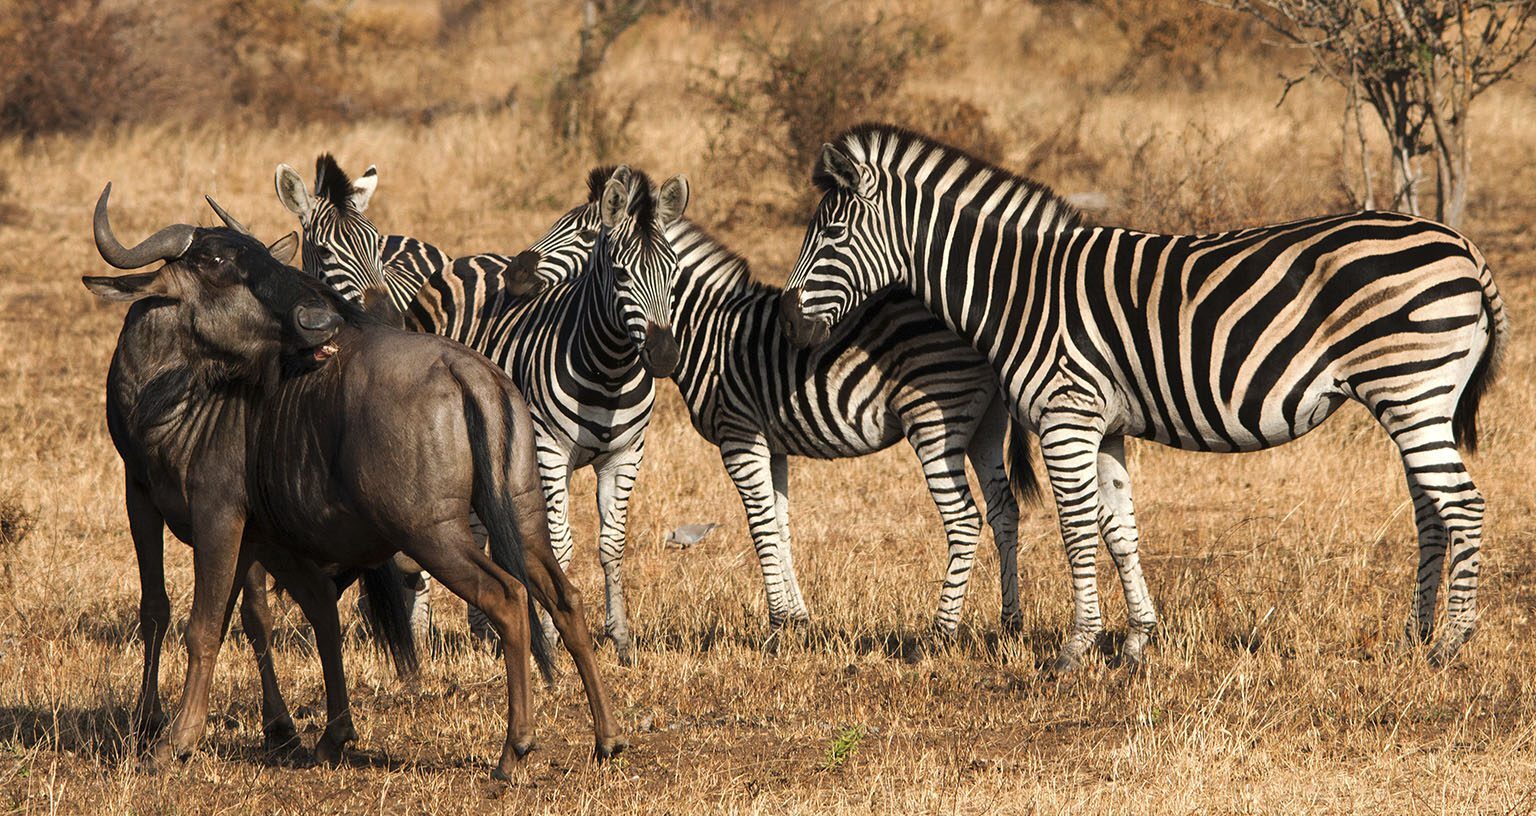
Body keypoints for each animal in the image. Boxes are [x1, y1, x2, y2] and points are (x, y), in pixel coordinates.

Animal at [401, 165, 686, 664]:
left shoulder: (627, 455)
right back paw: (419, 632)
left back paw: (484, 633)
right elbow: (557, 544)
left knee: (477, 528)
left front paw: (621, 640)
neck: (610, 368)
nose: (665, 355)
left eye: (672, 272)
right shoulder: (550, 451)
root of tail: (469, 258)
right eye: (621, 273)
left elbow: (612, 544)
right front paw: (555, 636)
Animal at [514, 207, 1030, 635]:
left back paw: (941, 632)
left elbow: (759, 525)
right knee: (1004, 510)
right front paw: (799, 618)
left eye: (585, 233)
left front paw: (778, 625)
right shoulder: (774, 443)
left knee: (964, 518)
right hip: (985, 425)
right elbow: (781, 525)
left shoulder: (739, 435)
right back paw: (1011, 622)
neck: (708, 330)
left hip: (935, 420)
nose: (516, 271)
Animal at [781, 123, 1507, 671]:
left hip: (1411, 390)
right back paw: (1415, 634)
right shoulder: (1104, 427)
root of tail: (1464, 247)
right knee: (1431, 509)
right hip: (1420, 401)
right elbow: (1119, 530)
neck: (1018, 288)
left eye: (833, 235)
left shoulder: (1066, 418)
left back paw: (1450, 643)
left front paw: (1075, 648)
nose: (791, 325)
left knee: (1463, 505)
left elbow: (1077, 529)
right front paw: (1135, 641)